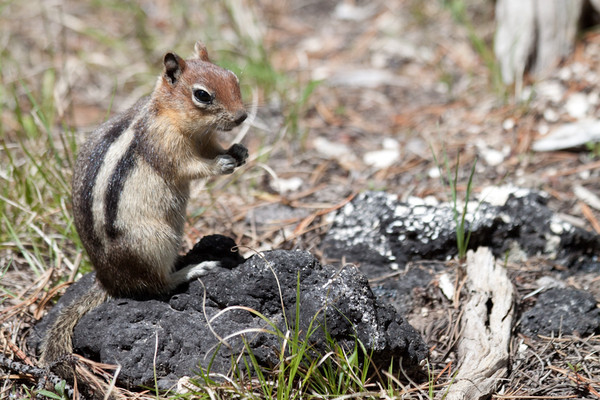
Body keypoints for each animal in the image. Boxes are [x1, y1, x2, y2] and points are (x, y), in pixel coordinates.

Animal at [41, 43, 248, 376]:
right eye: (202, 95)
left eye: (233, 78)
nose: (242, 116)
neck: (169, 115)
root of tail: (109, 280)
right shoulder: (165, 146)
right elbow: (190, 167)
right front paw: (221, 164)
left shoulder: (206, 140)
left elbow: (214, 148)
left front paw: (238, 151)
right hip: (156, 241)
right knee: (155, 286)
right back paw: (193, 268)